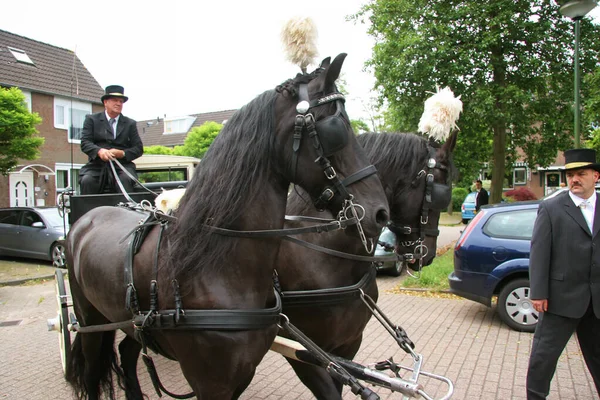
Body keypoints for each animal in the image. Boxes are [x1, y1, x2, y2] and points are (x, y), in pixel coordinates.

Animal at [62, 54, 390, 400]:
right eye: (336, 128)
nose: (380, 212)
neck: (214, 264)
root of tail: (89, 215)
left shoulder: (242, 373)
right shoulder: (211, 382)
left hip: (130, 324)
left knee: (127, 353)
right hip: (89, 321)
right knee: (93, 368)